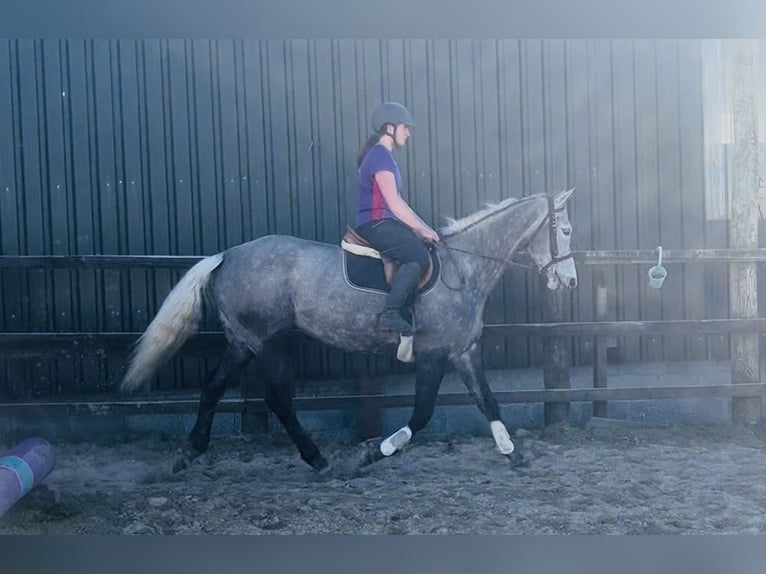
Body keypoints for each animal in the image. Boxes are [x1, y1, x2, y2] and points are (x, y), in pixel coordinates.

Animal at [120, 188, 577, 473]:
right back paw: (318, 460)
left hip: (242, 343)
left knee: (213, 387)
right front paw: (373, 454)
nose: (570, 282)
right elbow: (422, 414)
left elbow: (489, 402)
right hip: (269, 342)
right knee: (277, 398)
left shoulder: (464, 351)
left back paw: (191, 453)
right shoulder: (433, 354)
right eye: (567, 230)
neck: (463, 269)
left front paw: (513, 453)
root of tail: (227, 255)